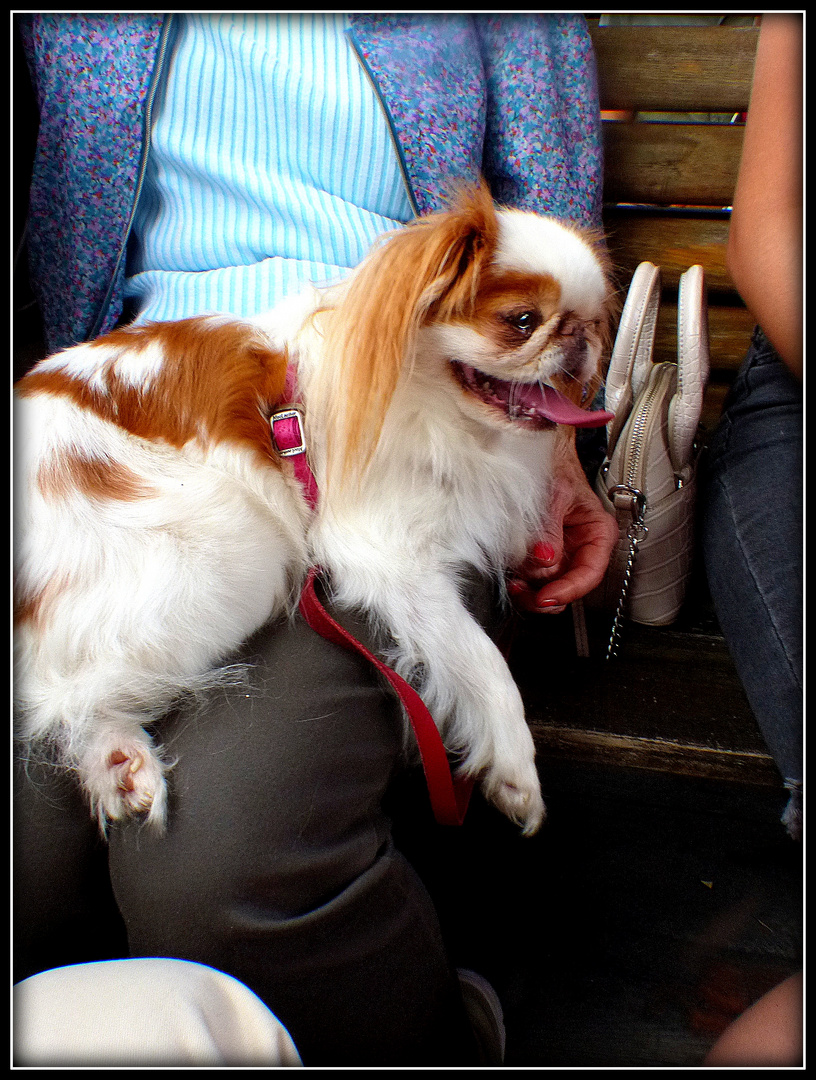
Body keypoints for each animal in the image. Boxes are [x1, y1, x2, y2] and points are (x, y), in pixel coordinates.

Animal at [12, 185, 613, 833]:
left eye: (593, 321)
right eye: (521, 321)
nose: (578, 337)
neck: (438, 410)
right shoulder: (389, 556)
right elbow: (484, 664)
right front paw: (516, 771)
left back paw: (119, 766)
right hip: (227, 558)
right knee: (54, 695)